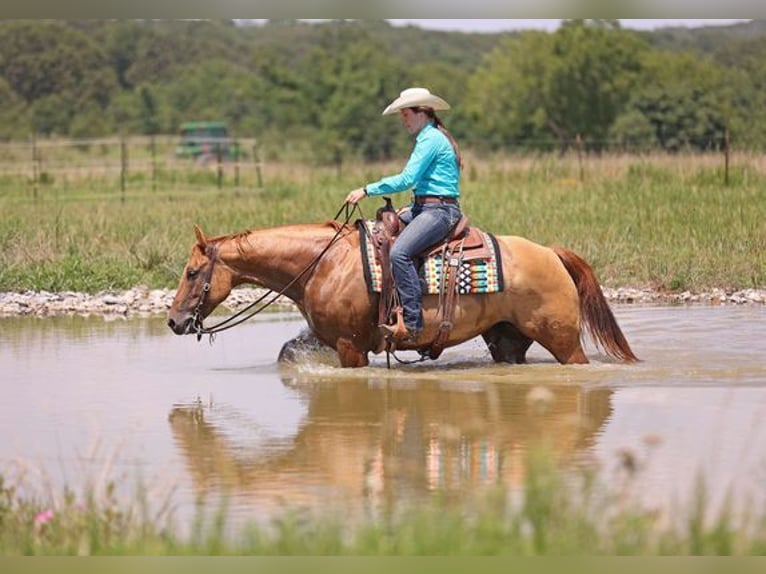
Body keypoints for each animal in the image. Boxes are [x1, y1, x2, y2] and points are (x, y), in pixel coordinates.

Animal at [170, 220, 640, 368]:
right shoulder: (327, 339)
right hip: (507, 340)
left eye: (192, 273)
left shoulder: (350, 346)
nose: (174, 321)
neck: (322, 263)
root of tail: (551, 253)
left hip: (563, 339)